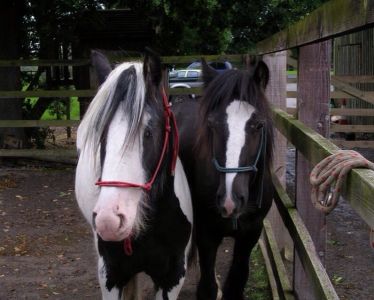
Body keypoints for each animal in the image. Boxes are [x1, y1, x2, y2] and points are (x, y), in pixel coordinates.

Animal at [173, 58, 274, 300]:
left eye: (258, 125)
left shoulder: (250, 234)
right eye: (212, 125)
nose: (230, 201)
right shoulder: (207, 234)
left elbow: (236, 283)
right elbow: (207, 287)